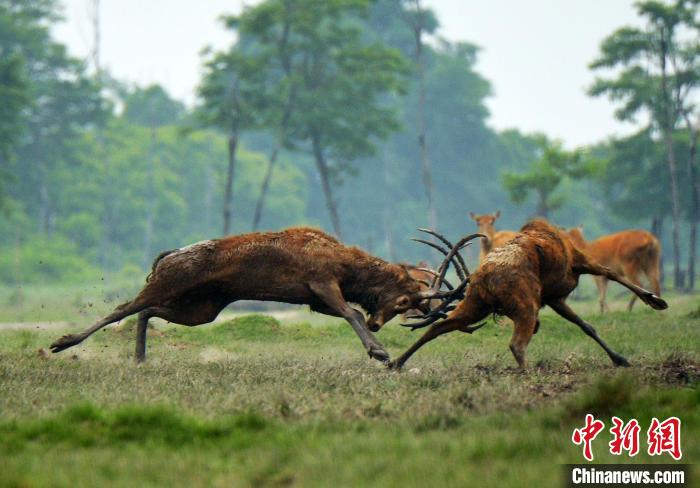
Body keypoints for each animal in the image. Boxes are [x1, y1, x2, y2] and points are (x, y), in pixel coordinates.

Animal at [49, 228, 470, 362]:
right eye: (404, 300)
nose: (378, 323)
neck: (348, 268)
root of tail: (167, 255)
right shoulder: (321, 283)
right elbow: (350, 313)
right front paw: (378, 352)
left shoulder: (315, 300)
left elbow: (344, 313)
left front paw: (377, 348)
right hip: (170, 283)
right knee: (124, 307)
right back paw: (62, 342)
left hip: (204, 307)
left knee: (147, 311)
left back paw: (140, 359)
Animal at [388, 218, 668, 370]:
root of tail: (484, 277)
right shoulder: (577, 262)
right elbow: (611, 273)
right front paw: (655, 301)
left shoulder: (554, 298)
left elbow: (586, 326)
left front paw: (619, 358)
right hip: (525, 304)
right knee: (516, 344)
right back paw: (528, 373)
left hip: (477, 303)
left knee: (438, 327)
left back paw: (396, 362)